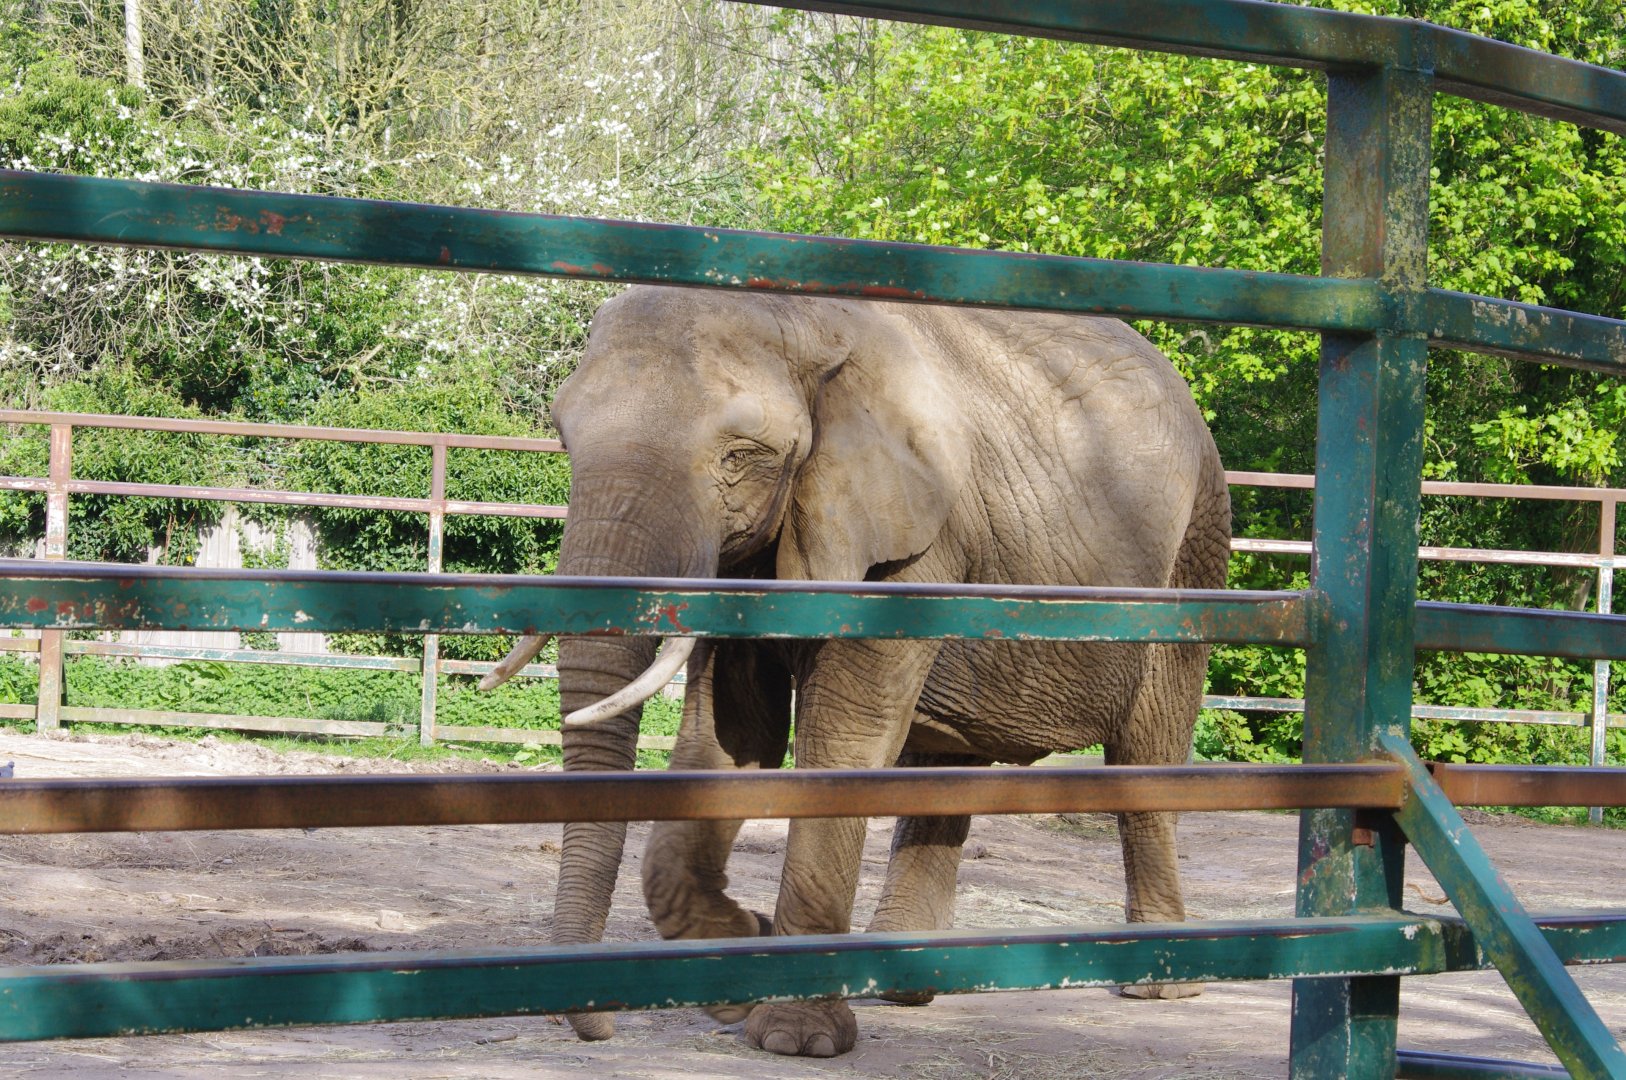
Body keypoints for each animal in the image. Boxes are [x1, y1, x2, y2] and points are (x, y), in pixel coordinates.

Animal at [481, 284, 1232, 1058]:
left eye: (739, 456)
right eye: (563, 438)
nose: (596, 1029)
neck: (806, 321)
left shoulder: (911, 538)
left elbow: (845, 733)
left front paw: (793, 1038)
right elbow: (729, 735)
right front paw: (738, 964)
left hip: (1195, 552)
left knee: (1148, 749)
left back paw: (1159, 985)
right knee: (945, 764)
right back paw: (904, 985)